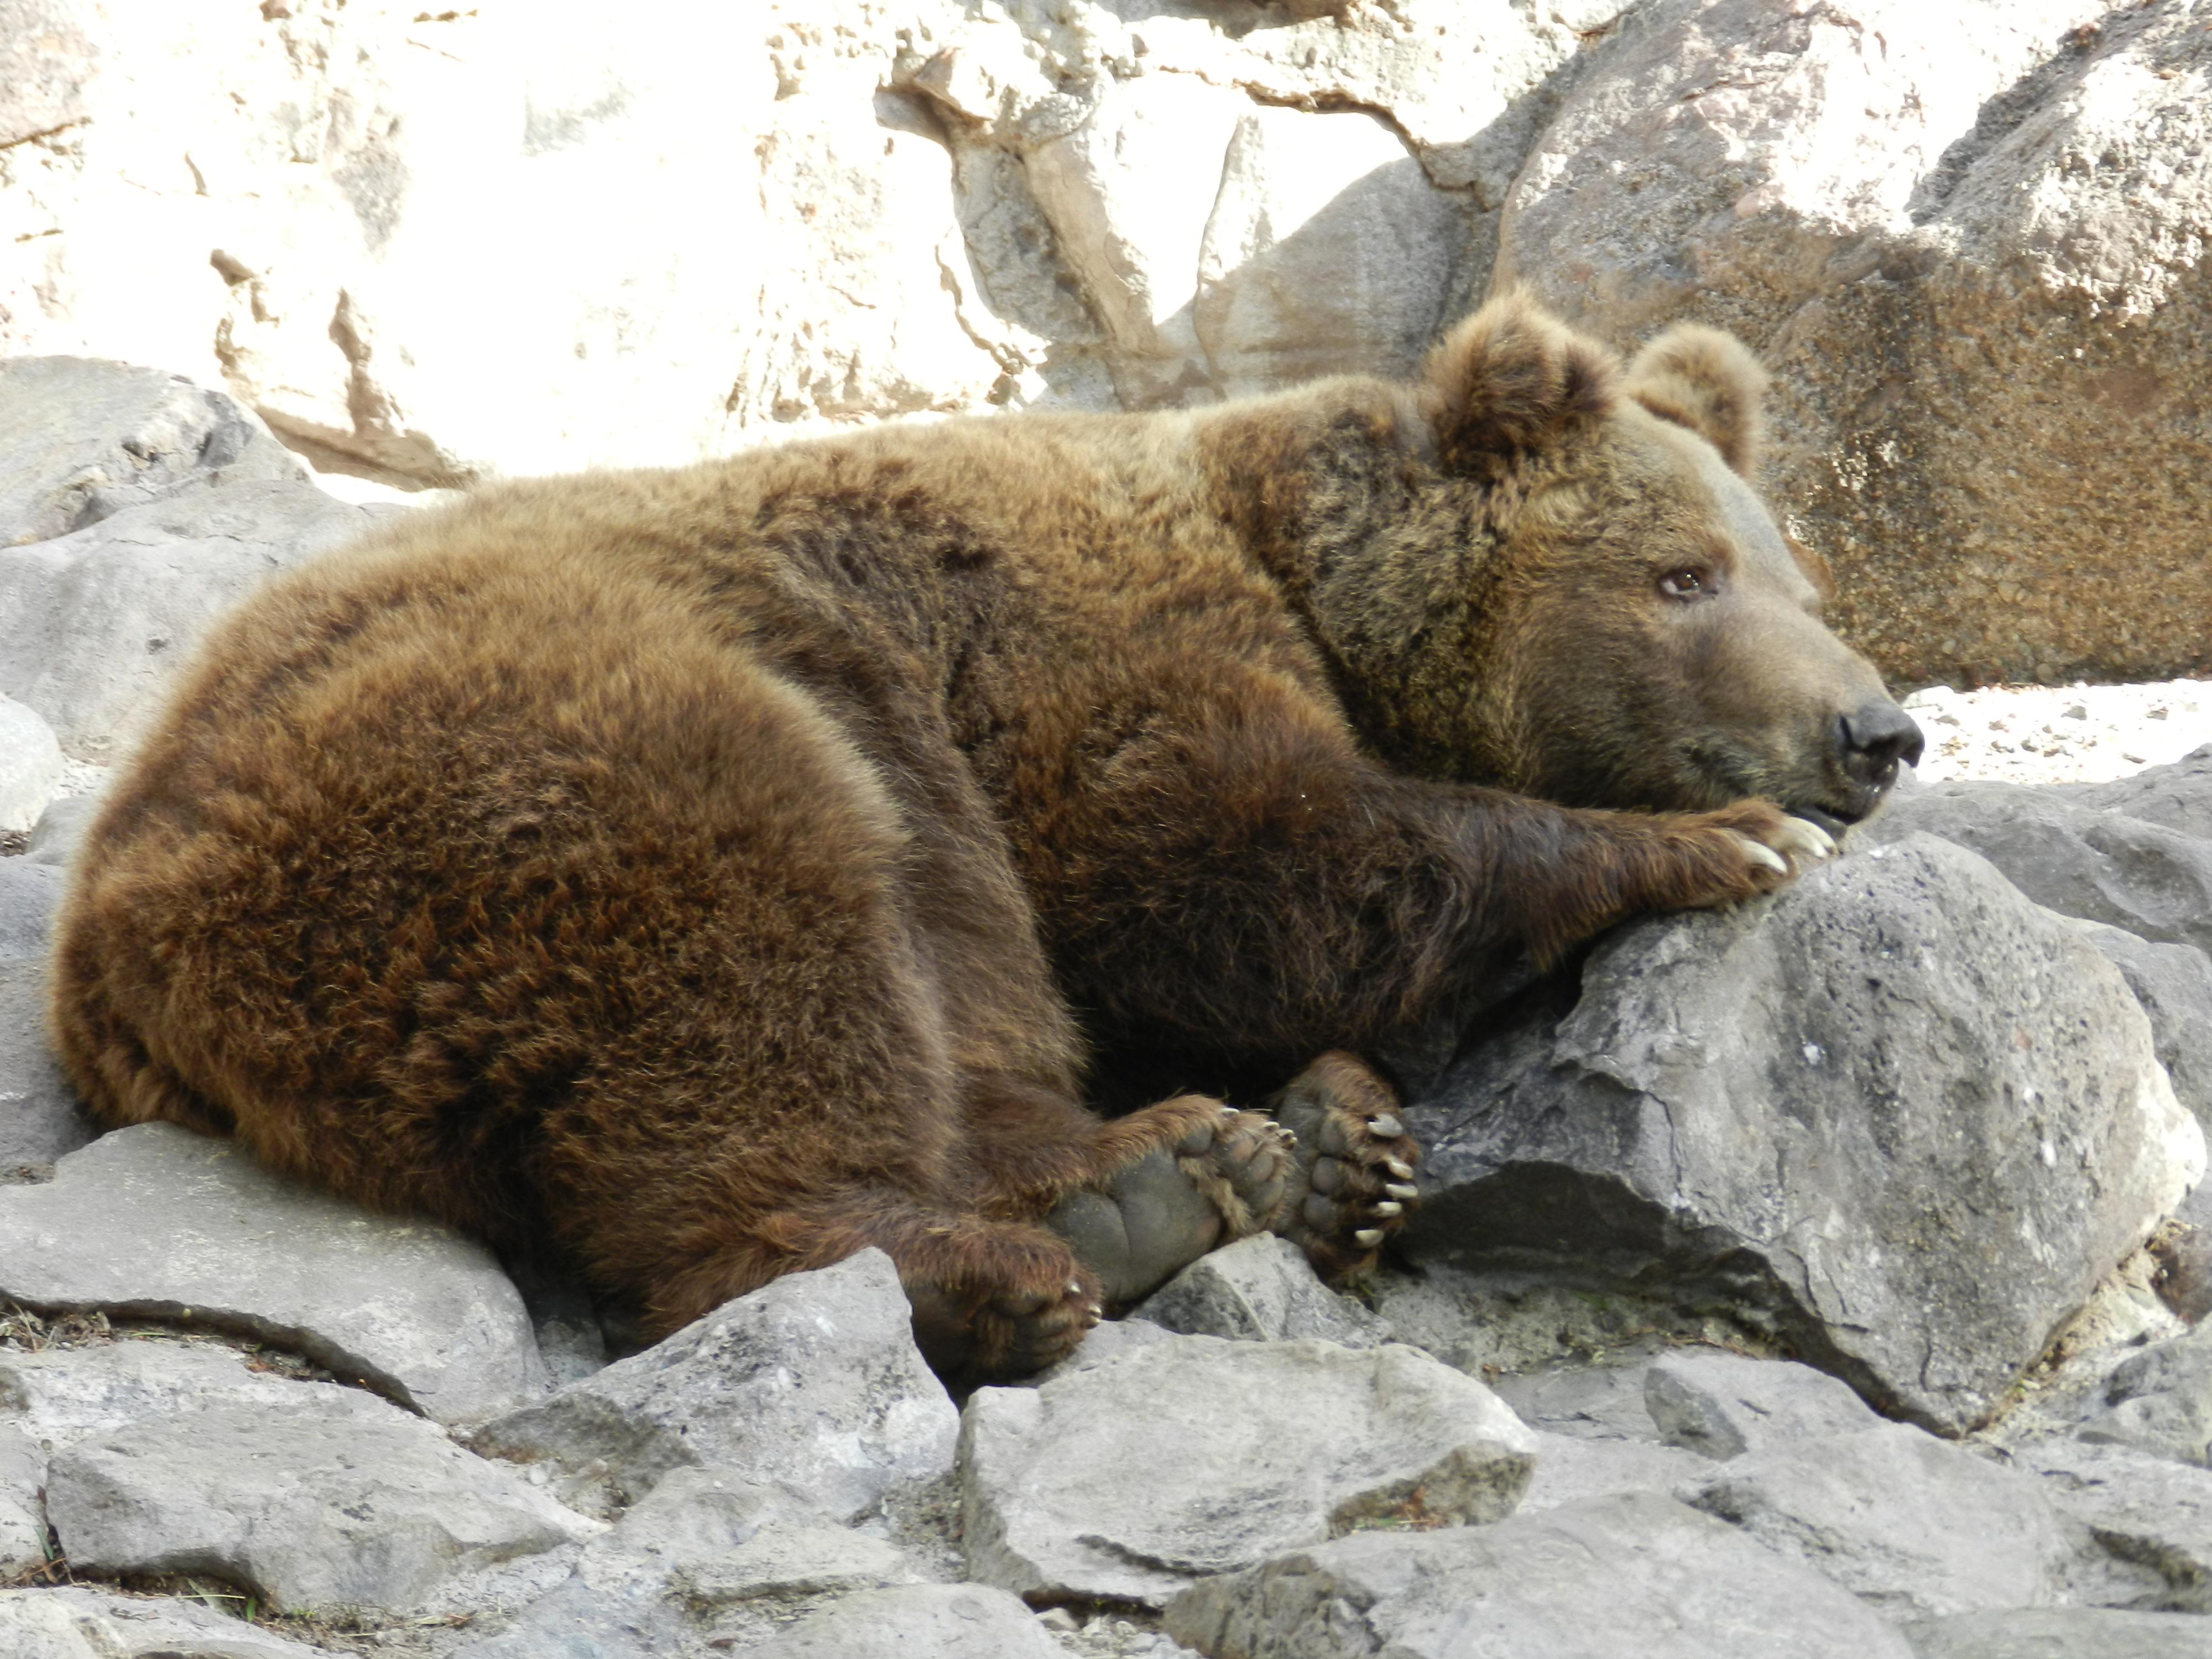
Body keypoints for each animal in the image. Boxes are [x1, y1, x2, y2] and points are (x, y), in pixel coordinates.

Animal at [43, 296, 1911, 1380]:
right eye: (1682, 575)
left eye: (1796, 579)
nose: (1875, 733)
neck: (1312, 586)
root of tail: (115, 948)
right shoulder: (1084, 662)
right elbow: (1257, 877)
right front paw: (1724, 839)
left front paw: (1359, 1136)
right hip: (557, 760)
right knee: (768, 967)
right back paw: (1047, 1243)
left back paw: (1277, 1155)